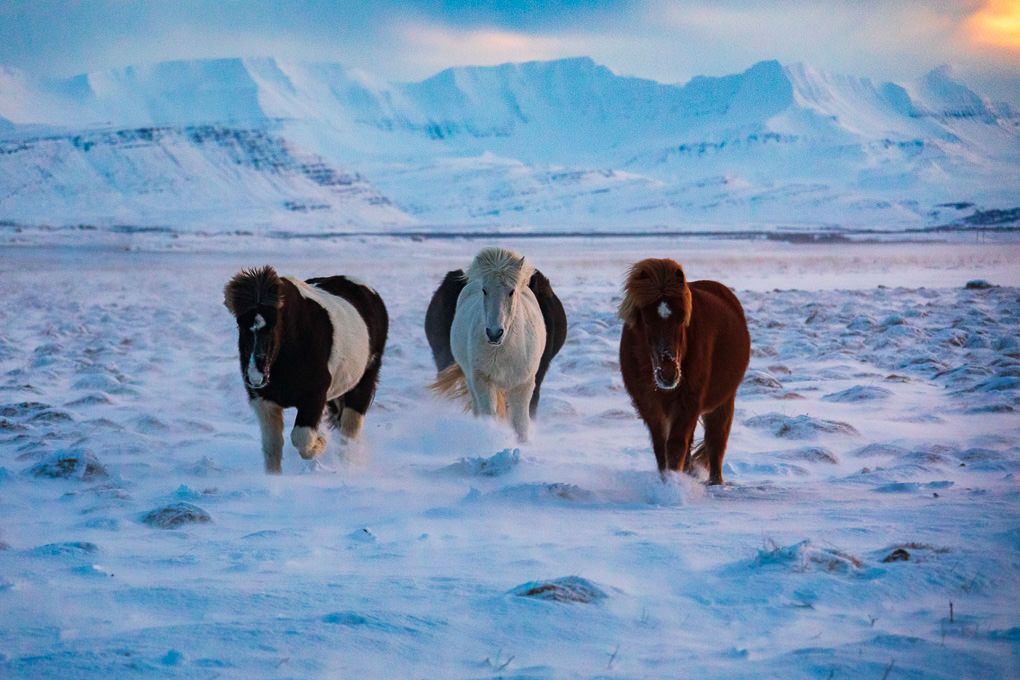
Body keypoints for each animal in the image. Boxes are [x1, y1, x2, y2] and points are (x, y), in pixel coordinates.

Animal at [223, 265, 388, 473]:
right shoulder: (264, 403)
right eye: (240, 324)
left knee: (349, 432)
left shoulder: (314, 397)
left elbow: (301, 437)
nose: (255, 377)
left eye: (275, 324)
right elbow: (272, 448)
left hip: (363, 382)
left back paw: (346, 464)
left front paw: (321, 442)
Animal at [427, 247, 566, 441]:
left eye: (511, 291)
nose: (494, 333)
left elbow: (521, 423)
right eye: (484, 290)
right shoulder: (482, 380)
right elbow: (489, 416)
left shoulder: (524, 384)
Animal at [618, 258, 750, 484]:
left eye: (681, 319)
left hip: (722, 402)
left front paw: (674, 483)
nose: (668, 374)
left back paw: (715, 483)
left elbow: (676, 446)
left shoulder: (688, 403)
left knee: (716, 442)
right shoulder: (649, 406)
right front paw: (667, 481)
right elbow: (661, 447)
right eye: (646, 320)